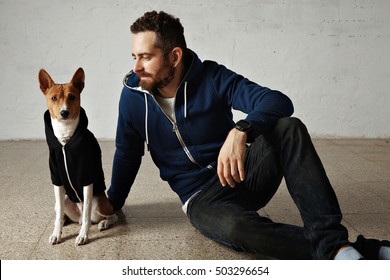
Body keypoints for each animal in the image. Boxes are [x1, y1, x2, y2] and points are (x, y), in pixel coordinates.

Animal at [38, 67, 118, 245]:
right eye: (54, 98)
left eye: (72, 97)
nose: (64, 112)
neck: (65, 139)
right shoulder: (57, 180)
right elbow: (58, 215)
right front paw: (57, 233)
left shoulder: (87, 179)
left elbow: (87, 214)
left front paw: (83, 235)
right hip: (65, 199)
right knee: (61, 212)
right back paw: (64, 221)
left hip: (100, 204)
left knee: (111, 215)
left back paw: (103, 223)